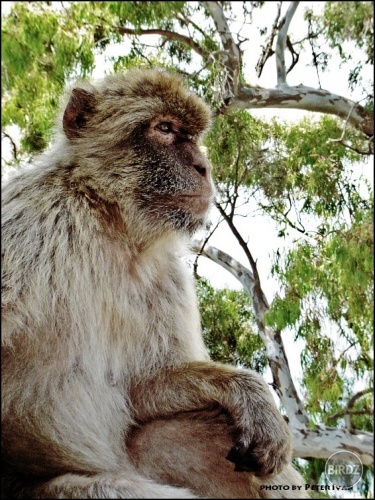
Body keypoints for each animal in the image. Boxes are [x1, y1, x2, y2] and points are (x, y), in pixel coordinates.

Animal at [0, 68, 306, 498]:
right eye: (164, 129)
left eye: (191, 135)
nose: (203, 166)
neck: (111, 219)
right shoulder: (31, 217)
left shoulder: (168, 274)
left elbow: (138, 387)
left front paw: (248, 392)